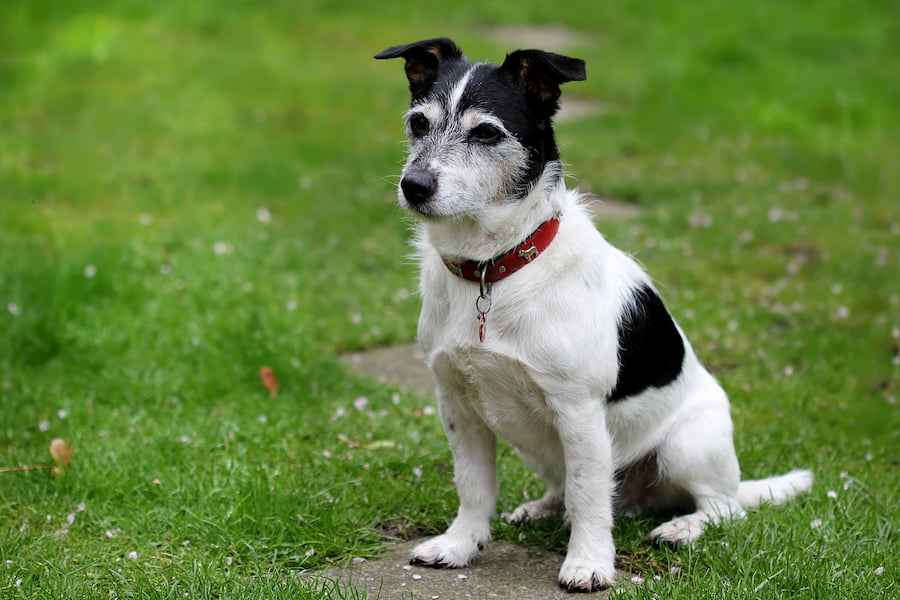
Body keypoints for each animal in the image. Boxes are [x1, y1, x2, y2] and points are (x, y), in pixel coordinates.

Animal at [376, 38, 812, 596]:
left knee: (721, 507)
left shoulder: (578, 411)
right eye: (417, 123)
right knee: (572, 489)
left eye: (487, 132)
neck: (493, 269)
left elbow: (588, 497)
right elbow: (474, 487)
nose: (414, 185)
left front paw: (588, 564)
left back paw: (682, 527)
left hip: (687, 446)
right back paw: (543, 508)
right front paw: (460, 544)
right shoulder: (458, 405)